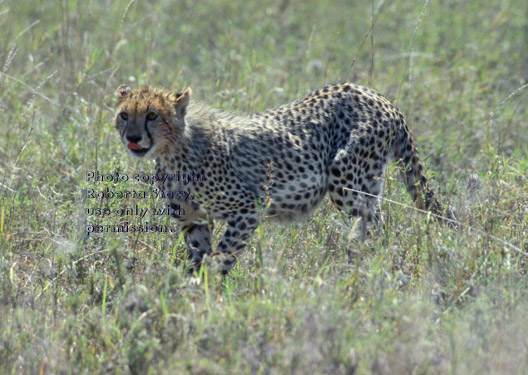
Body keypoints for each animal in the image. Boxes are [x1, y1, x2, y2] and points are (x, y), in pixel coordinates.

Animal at [114, 83, 450, 274]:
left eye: (152, 115)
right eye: (124, 115)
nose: (132, 137)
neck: (174, 150)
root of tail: (378, 96)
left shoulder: (249, 207)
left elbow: (222, 255)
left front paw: (213, 294)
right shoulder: (192, 220)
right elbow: (199, 258)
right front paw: (193, 295)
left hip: (345, 176)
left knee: (375, 226)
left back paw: (367, 265)